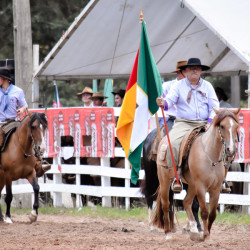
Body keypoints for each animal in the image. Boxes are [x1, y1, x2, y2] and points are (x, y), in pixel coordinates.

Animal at [152, 108, 240, 241]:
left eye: (236, 126)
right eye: (222, 126)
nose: (231, 150)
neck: (210, 156)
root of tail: (162, 141)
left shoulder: (215, 189)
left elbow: (212, 214)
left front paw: (206, 235)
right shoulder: (201, 187)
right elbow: (204, 212)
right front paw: (206, 236)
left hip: (192, 185)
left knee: (186, 202)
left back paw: (193, 231)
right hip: (165, 181)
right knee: (166, 204)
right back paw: (168, 234)